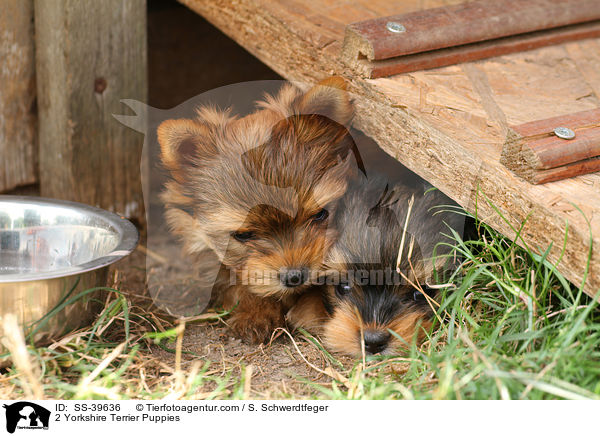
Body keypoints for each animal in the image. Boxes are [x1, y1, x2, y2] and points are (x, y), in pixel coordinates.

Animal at [157, 78, 358, 344]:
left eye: (320, 215)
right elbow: (238, 281)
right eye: (242, 235)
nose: (294, 276)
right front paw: (256, 313)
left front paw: (312, 311)